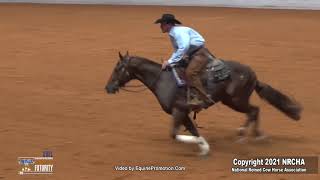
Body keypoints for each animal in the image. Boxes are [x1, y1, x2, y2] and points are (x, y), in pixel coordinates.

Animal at [105, 51, 302, 155]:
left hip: (237, 101)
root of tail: (252, 74)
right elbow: (193, 130)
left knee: (254, 110)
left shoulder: (178, 110)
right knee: (254, 111)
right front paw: (204, 147)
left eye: (117, 68)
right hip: (231, 101)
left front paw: (201, 146)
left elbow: (174, 134)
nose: (108, 87)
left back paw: (248, 134)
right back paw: (251, 133)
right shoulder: (183, 113)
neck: (163, 80)